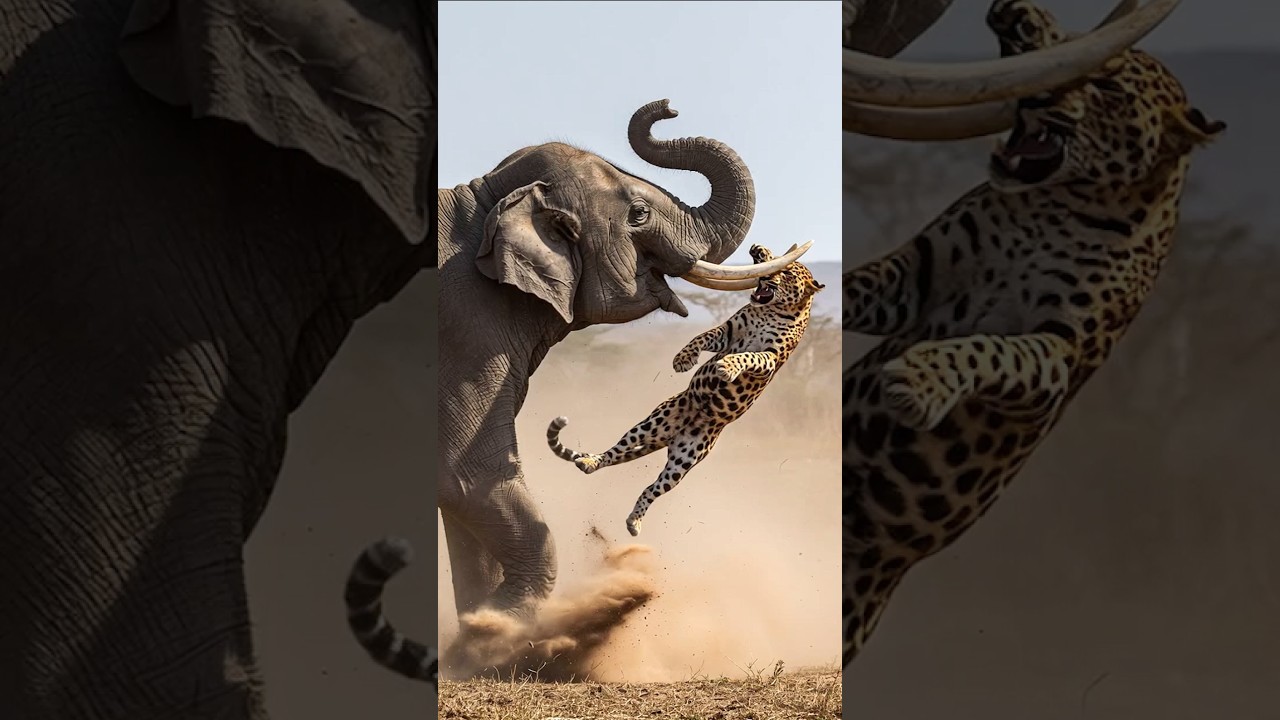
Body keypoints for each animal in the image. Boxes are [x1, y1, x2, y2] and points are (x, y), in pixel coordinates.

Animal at [548, 243, 825, 537]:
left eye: (787, 272)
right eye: (774, 259)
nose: (759, 254)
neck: (770, 310)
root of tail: (675, 433)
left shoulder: (770, 359)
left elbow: (748, 356)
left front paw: (726, 367)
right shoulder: (729, 331)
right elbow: (703, 336)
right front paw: (683, 359)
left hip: (682, 462)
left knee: (652, 488)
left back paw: (634, 521)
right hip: (652, 424)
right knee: (616, 451)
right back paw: (591, 463)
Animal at [841, 0, 1225, 669]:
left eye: (1110, 89)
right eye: (1061, 49)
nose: (1039, 92)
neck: (1056, 203)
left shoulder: (1055, 355)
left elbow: (988, 348)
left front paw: (918, 383)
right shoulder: (915, 276)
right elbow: (856, 283)